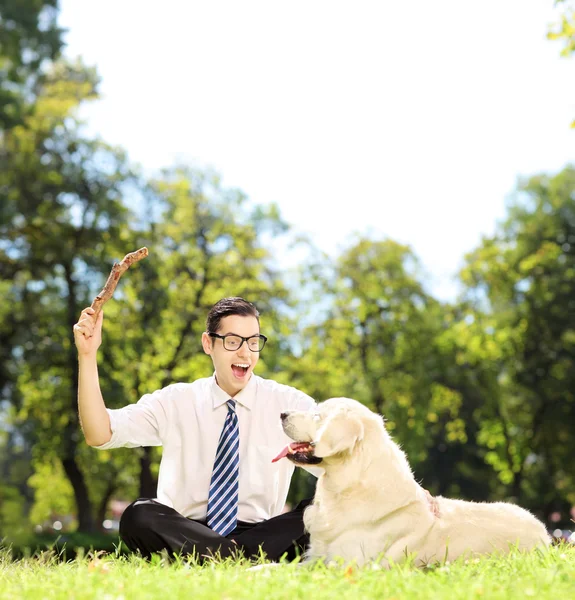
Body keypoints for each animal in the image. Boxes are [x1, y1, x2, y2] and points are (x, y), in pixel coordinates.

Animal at [274, 398, 552, 568]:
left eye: (317, 415)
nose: (282, 413)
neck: (347, 487)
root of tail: (546, 535)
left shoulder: (347, 564)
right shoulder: (316, 556)